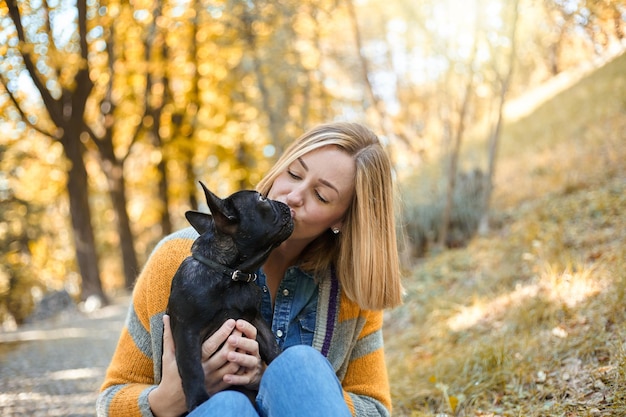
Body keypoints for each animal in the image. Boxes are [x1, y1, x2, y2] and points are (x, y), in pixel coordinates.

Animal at [166, 181, 292, 410]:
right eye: (261, 198)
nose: (284, 203)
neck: (231, 275)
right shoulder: (187, 331)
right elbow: (192, 369)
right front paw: (199, 401)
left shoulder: (254, 321)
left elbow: (272, 346)